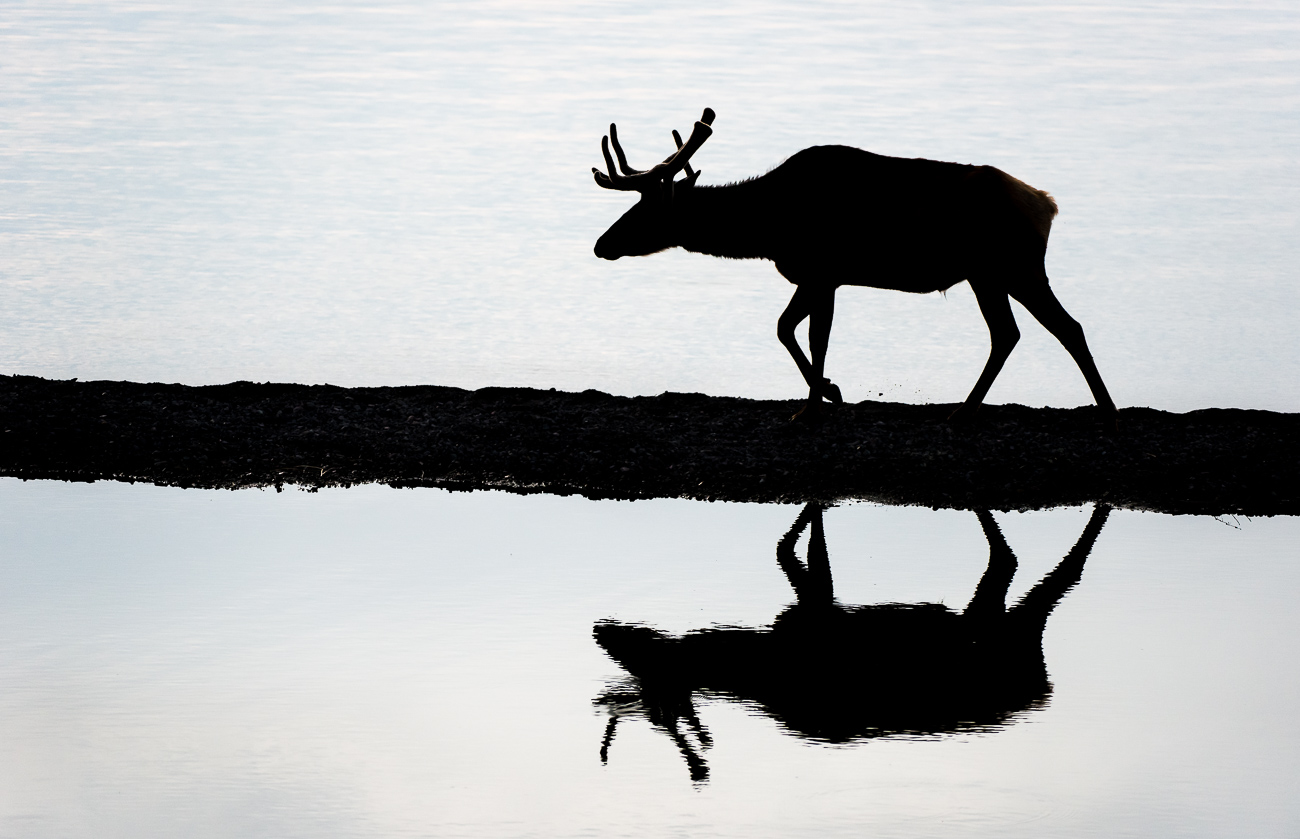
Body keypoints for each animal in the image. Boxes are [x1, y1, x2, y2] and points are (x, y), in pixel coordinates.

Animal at [593, 108, 1118, 425]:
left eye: (645, 211)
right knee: (1020, 332)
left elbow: (813, 336)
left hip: (1012, 266)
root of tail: (1046, 205)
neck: (768, 225)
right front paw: (829, 391)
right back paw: (975, 410)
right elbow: (785, 328)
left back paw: (1100, 408)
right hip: (989, 274)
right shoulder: (815, 276)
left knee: (1053, 328)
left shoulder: (824, 271)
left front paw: (813, 407)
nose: (601, 245)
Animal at [594, 502, 1111, 782]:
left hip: (998, 633)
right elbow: (794, 550)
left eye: (645, 659)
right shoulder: (813, 609)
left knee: (1030, 568)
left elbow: (792, 550)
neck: (755, 662)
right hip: (993, 627)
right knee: (1014, 564)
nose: (601, 630)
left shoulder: (813, 614)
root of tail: (1040, 690)